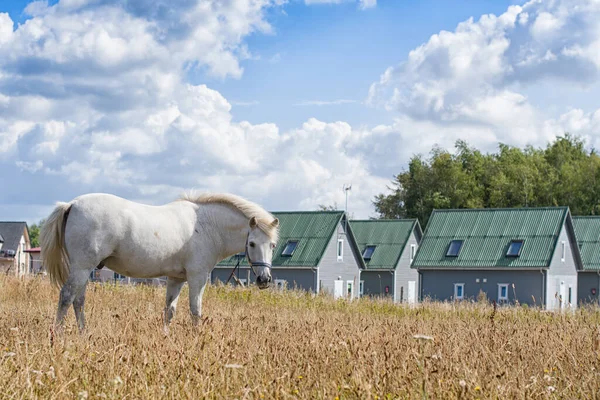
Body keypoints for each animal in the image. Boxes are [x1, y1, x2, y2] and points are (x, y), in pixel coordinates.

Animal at [41, 193, 280, 332]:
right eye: (251, 243)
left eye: (272, 245)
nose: (264, 280)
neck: (207, 225)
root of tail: (72, 204)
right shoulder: (197, 277)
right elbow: (196, 310)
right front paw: (198, 337)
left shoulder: (176, 279)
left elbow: (169, 310)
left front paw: (165, 336)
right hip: (82, 268)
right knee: (66, 297)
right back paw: (58, 334)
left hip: (85, 270)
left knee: (78, 301)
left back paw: (84, 333)